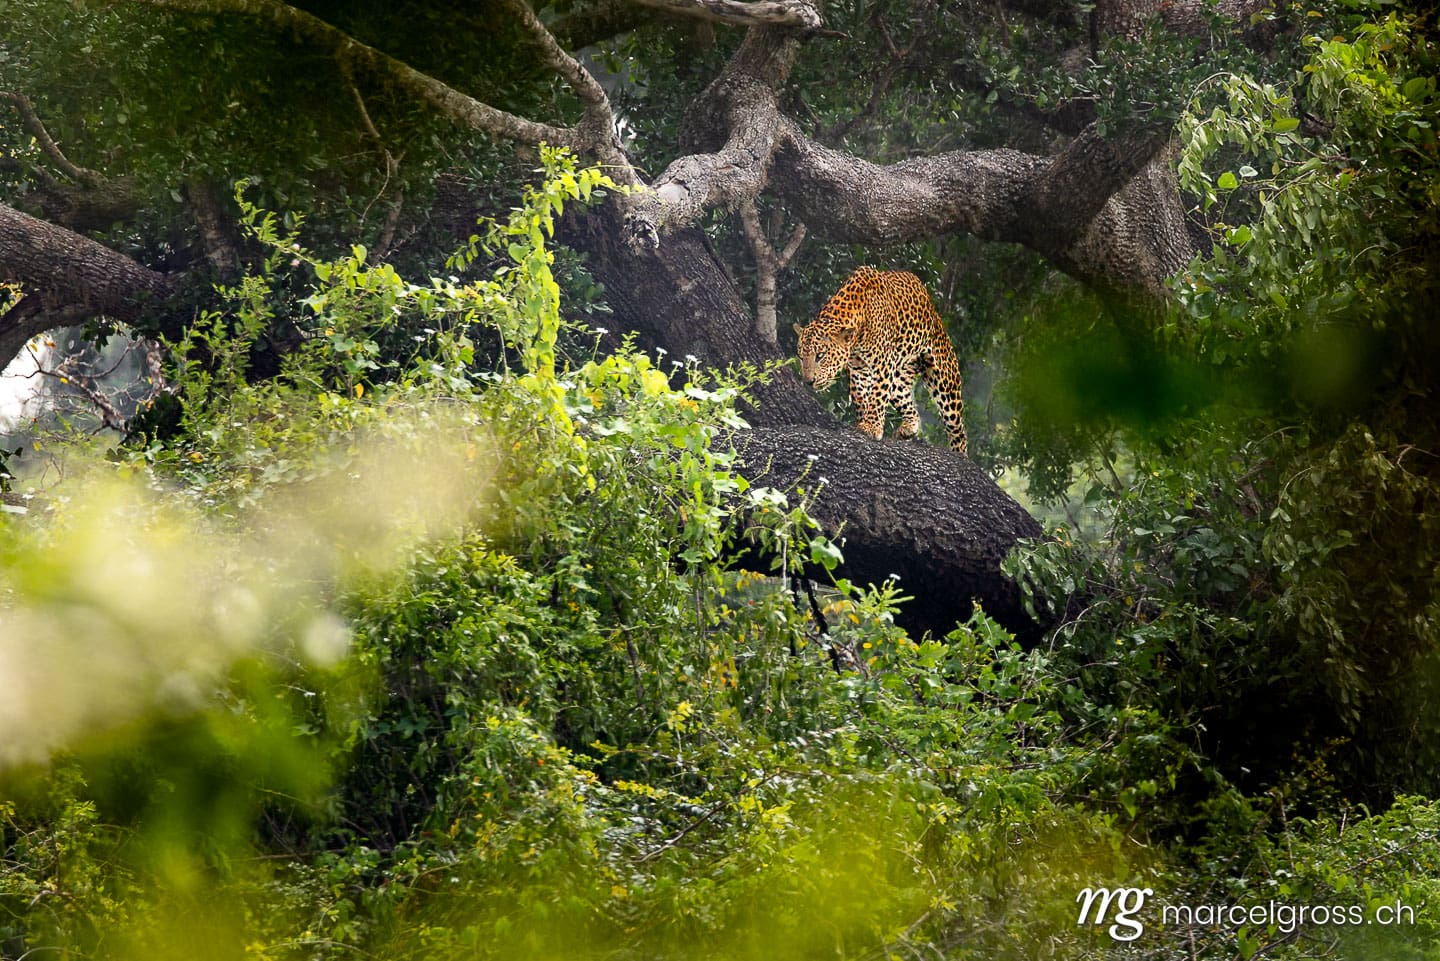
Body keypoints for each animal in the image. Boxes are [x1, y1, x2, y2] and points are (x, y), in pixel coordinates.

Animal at [793, 266, 968, 455]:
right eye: (801, 357)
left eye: (820, 356)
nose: (808, 381)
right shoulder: (859, 370)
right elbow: (861, 397)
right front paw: (863, 422)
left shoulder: (883, 365)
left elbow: (877, 396)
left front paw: (871, 427)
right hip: (898, 380)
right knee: (911, 408)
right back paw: (908, 428)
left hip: (944, 380)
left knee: (957, 427)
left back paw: (960, 454)